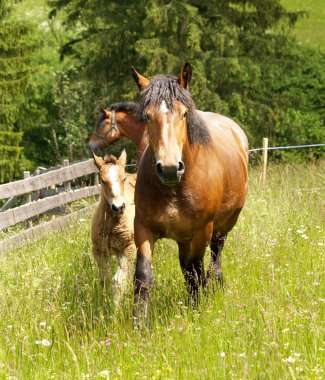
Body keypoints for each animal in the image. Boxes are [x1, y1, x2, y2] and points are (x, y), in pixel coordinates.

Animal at [130, 63, 247, 320]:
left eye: (184, 114)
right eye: (147, 116)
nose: (169, 168)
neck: (175, 189)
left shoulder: (201, 231)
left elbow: (196, 273)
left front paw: (196, 308)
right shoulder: (143, 228)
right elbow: (143, 276)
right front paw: (140, 321)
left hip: (222, 227)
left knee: (214, 259)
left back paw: (216, 285)